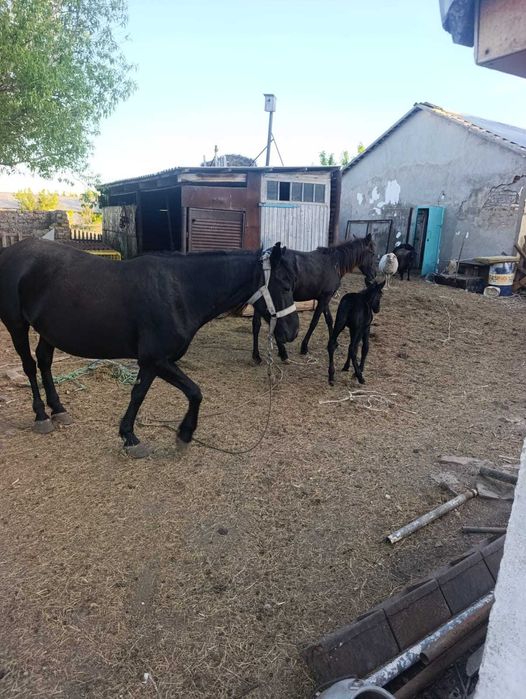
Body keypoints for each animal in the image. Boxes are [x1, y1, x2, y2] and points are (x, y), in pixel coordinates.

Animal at [0, 238, 298, 457]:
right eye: (284, 285)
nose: (293, 331)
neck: (179, 292)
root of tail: (10, 252)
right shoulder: (157, 359)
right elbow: (194, 392)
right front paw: (181, 435)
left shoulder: (152, 363)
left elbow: (139, 394)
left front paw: (129, 435)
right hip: (17, 325)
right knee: (29, 366)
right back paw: (41, 415)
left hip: (48, 331)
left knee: (44, 361)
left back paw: (59, 409)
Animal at [251, 234, 377, 364]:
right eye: (372, 253)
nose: (374, 275)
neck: (334, 263)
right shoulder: (325, 298)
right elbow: (314, 322)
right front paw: (304, 347)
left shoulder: (324, 298)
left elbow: (329, 320)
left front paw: (334, 343)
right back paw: (283, 353)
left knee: (256, 325)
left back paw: (257, 355)